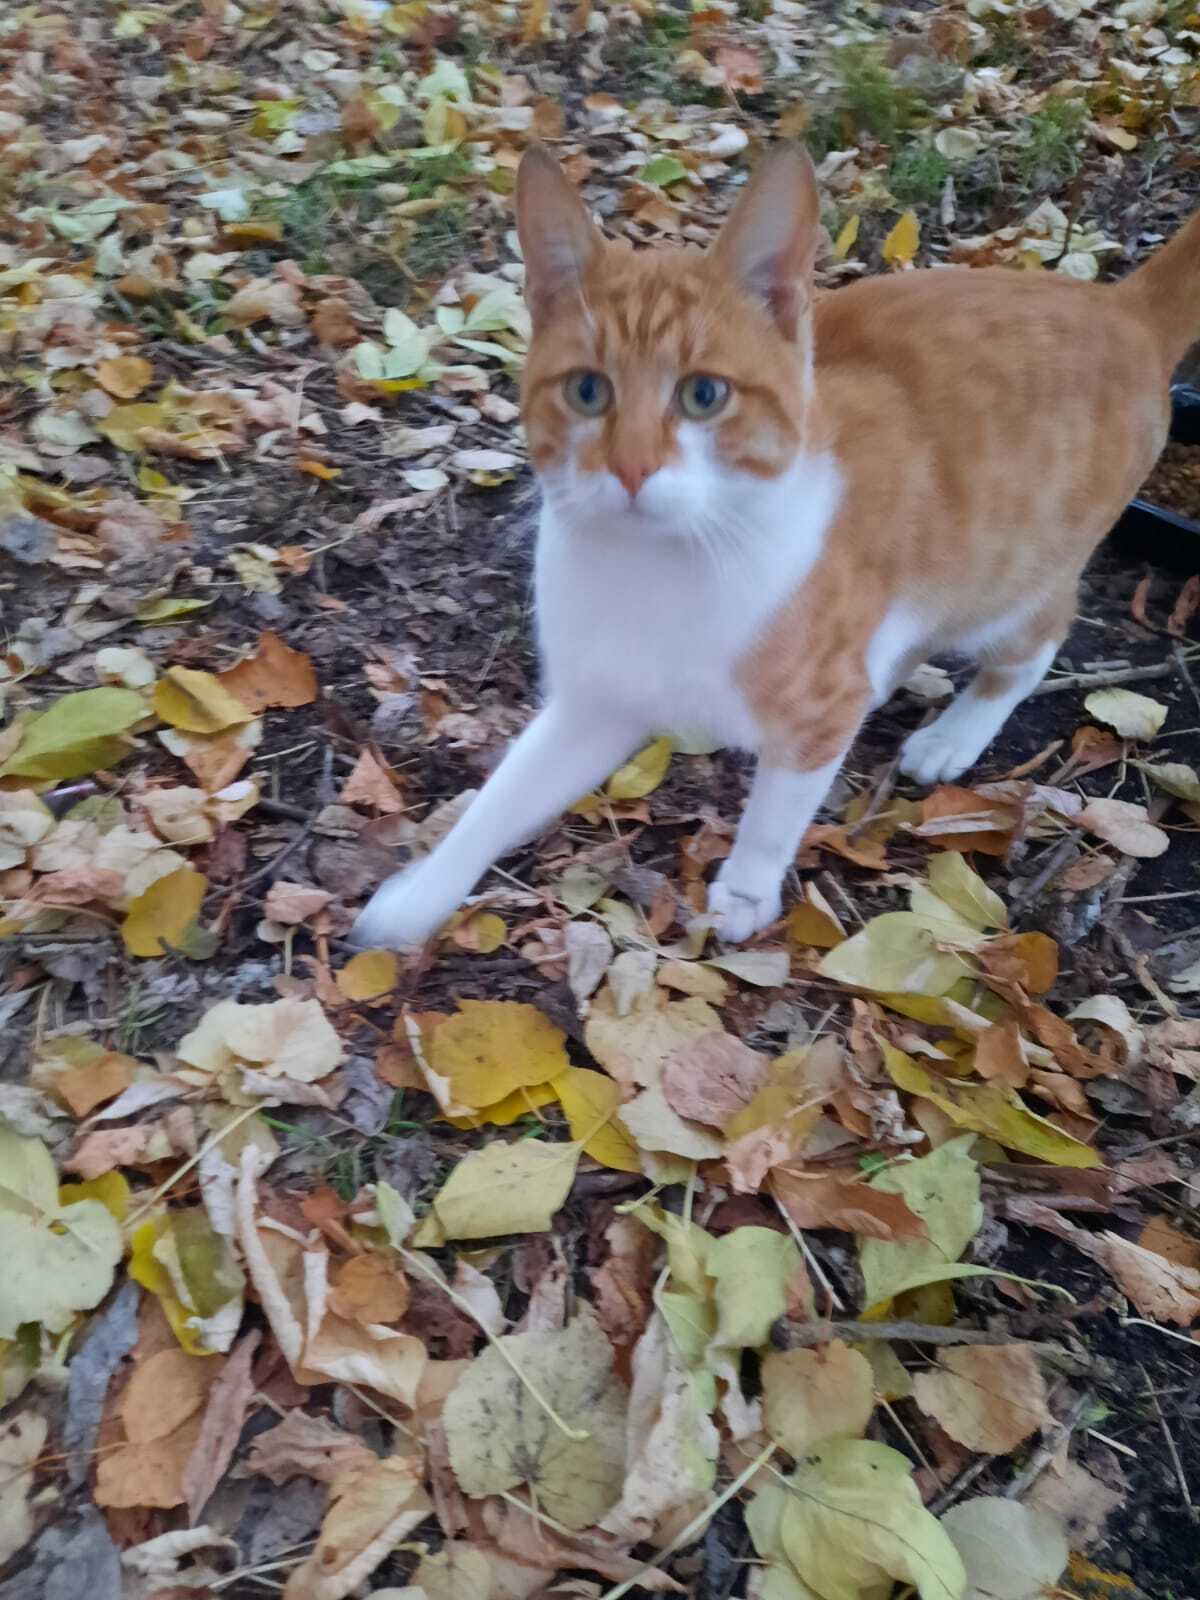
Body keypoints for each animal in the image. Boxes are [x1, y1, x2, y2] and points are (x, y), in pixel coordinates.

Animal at [352, 144, 1196, 947]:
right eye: (588, 391)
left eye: (704, 395)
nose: (631, 467)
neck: (663, 567)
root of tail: (1122, 306)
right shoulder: (596, 700)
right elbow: (499, 800)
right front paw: (420, 897)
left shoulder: (818, 711)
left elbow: (776, 810)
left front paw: (746, 891)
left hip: (1005, 582)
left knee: (1036, 640)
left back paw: (954, 735)